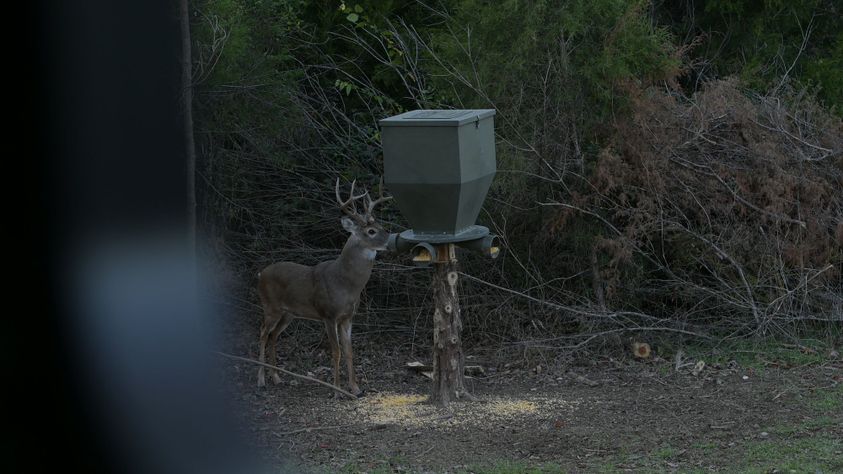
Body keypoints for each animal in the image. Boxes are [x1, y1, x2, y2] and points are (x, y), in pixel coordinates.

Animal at [256, 178, 391, 397]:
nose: (390, 240)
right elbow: (336, 351)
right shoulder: (328, 314)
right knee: (262, 333)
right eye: (371, 231)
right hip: (270, 306)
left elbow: (349, 351)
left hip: (289, 313)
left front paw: (356, 388)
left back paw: (276, 377)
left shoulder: (348, 317)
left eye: (380, 225)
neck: (346, 285)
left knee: (273, 335)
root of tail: (260, 274)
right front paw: (336, 390)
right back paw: (261, 380)